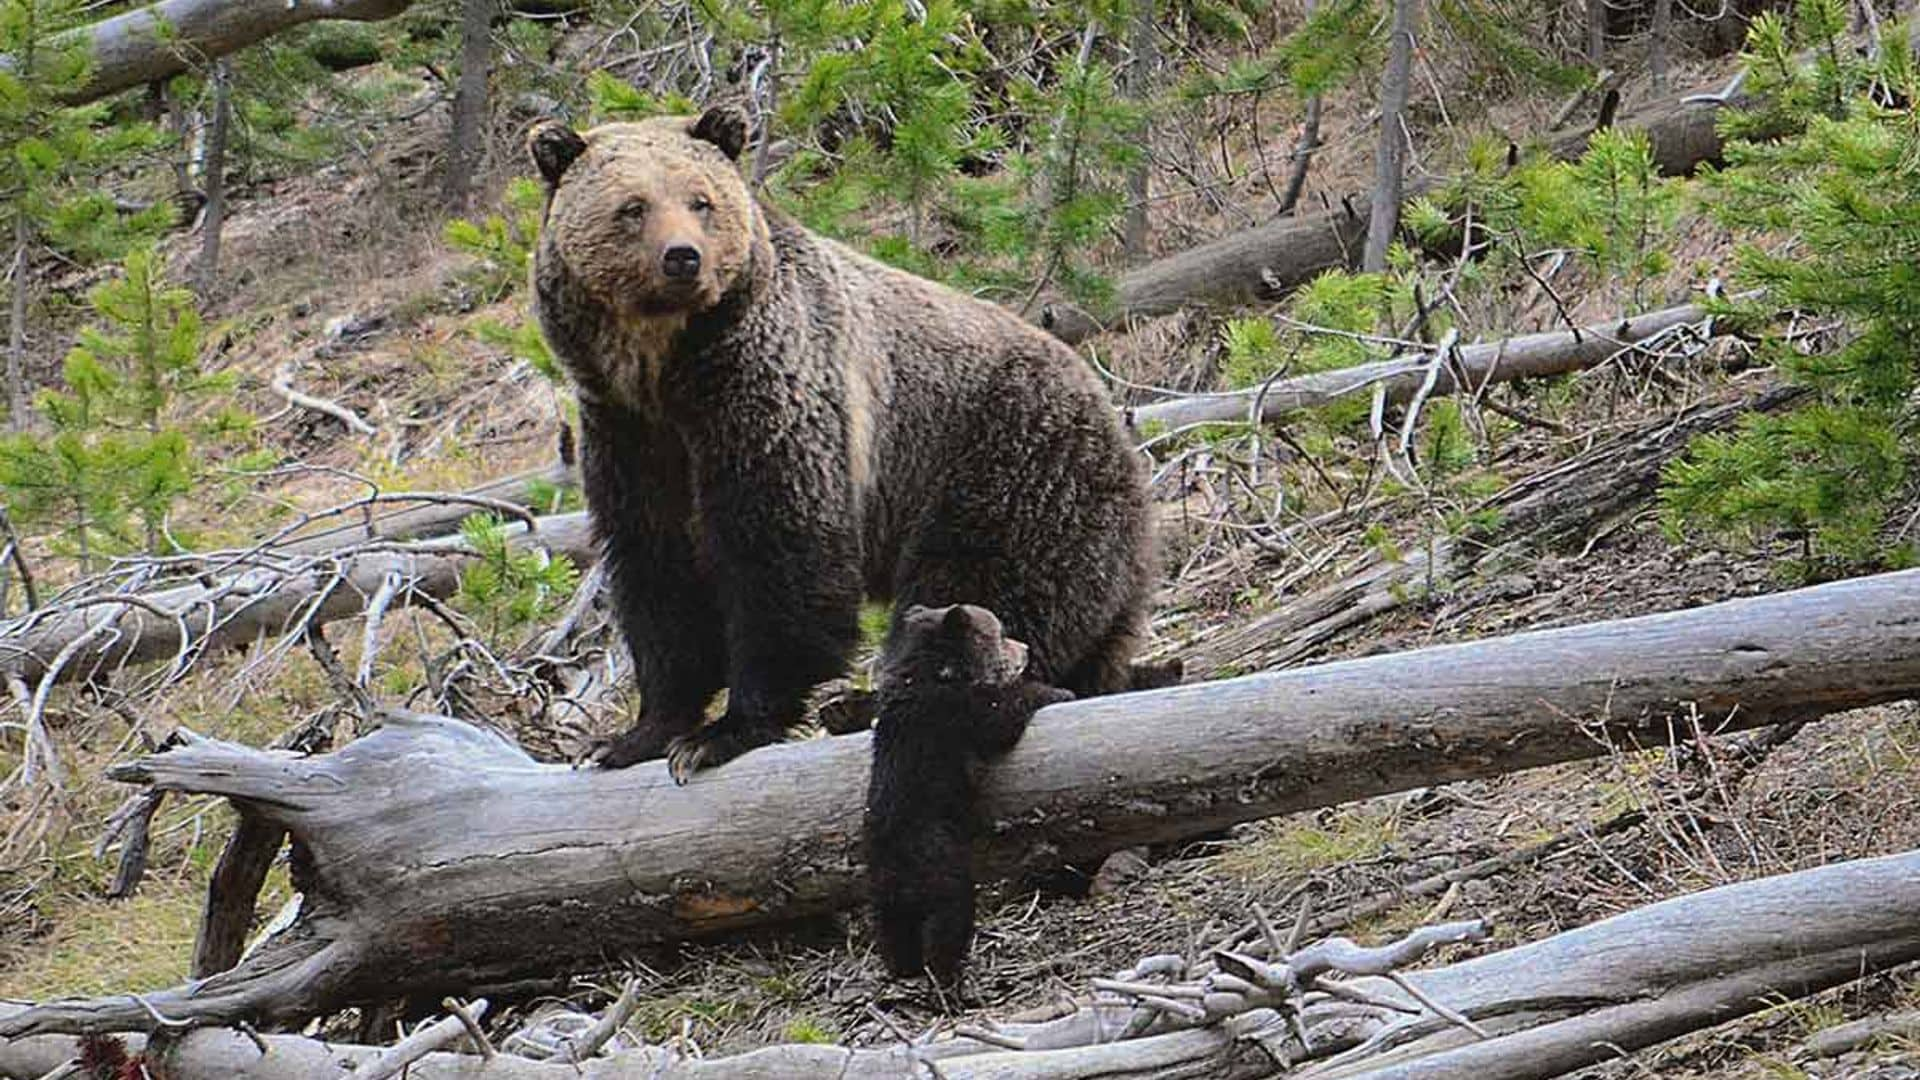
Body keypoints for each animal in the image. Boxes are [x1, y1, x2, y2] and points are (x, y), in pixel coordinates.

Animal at [526, 105, 1152, 776]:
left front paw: (724, 731)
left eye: (701, 200)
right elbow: (657, 570)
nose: (683, 258)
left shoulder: (769, 393)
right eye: (633, 206)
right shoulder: (629, 434)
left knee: (980, 590)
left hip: (1009, 464)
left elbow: (779, 551)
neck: (665, 370)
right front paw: (634, 735)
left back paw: (869, 700)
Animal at [867, 599, 1075, 991]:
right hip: (938, 864)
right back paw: (949, 978)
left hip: (884, 895)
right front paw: (1056, 691)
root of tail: (897, 873)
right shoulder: (956, 713)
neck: (936, 673)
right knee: (950, 919)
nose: (1025, 648)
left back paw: (904, 968)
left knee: (894, 933)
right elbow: (1001, 718)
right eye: (1001, 633)